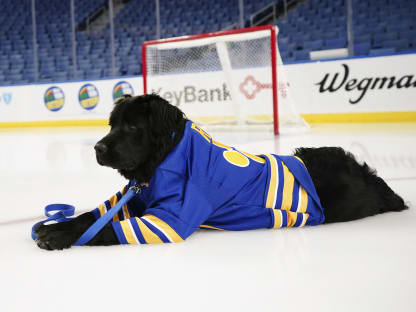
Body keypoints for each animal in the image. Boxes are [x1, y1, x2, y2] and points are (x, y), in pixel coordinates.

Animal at [34, 94, 408, 250]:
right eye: (112, 125)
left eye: (132, 127)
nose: (97, 148)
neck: (164, 159)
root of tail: (369, 178)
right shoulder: (134, 201)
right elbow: (90, 218)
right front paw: (58, 226)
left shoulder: (168, 221)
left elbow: (106, 229)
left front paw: (59, 238)